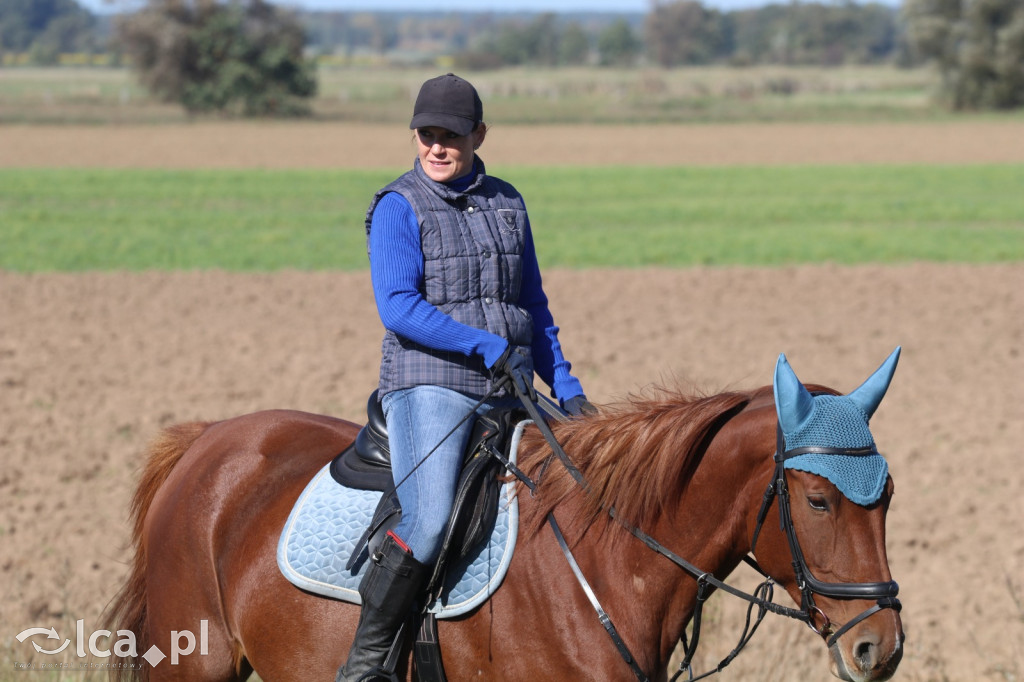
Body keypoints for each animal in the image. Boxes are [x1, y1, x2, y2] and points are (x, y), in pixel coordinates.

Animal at [105, 350, 905, 679]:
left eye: (889, 496)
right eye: (818, 500)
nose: (881, 648)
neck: (607, 560)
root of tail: (208, 440)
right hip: (195, 664)